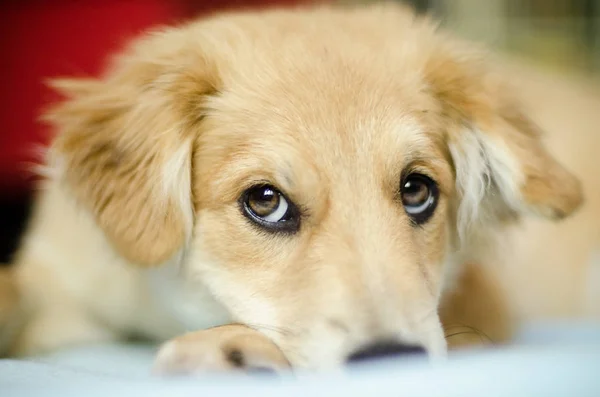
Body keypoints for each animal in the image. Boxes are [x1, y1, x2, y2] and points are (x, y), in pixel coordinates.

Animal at [1, 3, 600, 374]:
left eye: (417, 190)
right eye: (265, 201)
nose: (391, 363)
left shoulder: (480, 304)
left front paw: (228, 349)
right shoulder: (64, 277)